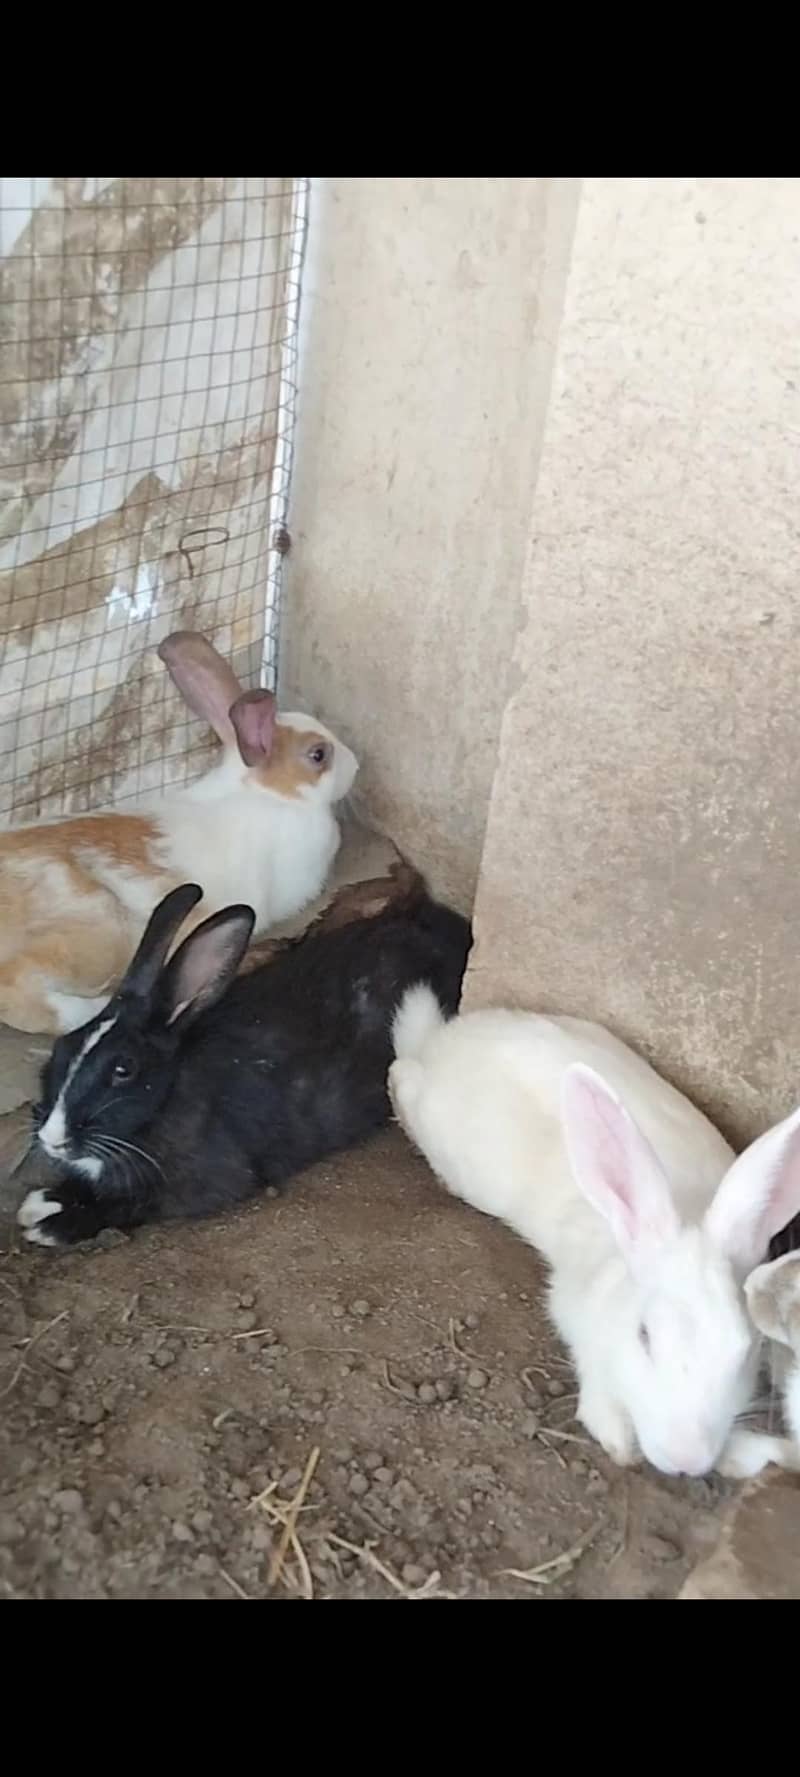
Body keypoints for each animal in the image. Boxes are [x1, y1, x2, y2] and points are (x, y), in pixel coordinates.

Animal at [0, 631, 357, 1038]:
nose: (356, 766)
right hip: (97, 930)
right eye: (318, 755)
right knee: (15, 985)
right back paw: (88, 1010)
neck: (270, 794)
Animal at [16, 875, 472, 1249]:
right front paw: (42, 1202)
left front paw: (50, 1222)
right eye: (63, 1047)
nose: (52, 1136)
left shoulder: (198, 1186)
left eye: (123, 1069)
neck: (166, 1097)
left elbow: (129, 1205)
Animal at [388, 989, 800, 1480]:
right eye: (644, 1335)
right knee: (400, 1076)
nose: (686, 1460)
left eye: (745, 1350)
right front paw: (618, 1441)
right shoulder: (573, 1313)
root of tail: (443, 1039)